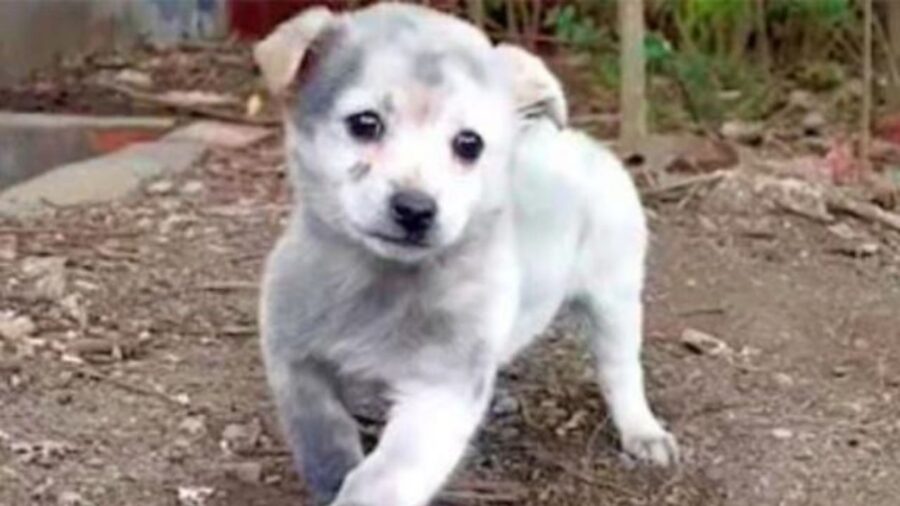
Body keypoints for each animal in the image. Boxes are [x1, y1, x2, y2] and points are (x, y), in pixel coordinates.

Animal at [253, 4, 676, 506]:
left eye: (468, 143)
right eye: (365, 123)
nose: (415, 209)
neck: (380, 280)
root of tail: (580, 142)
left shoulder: (441, 391)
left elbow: (381, 479)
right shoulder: (293, 360)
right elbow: (321, 434)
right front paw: (331, 477)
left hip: (615, 297)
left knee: (621, 369)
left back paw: (642, 430)